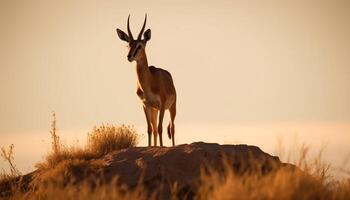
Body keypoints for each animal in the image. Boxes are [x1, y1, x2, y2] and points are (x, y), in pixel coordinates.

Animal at [117, 14, 178, 147]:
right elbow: (150, 129)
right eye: (128, 45)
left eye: (139, 45)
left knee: (171, 127)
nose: (129, 56)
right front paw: (151, 147)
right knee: (154, 129)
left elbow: (160, 128)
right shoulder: (145, 105)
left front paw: (161, 147)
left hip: (172, 108)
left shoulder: (161, 105)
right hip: (154, 110)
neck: (150, 82)